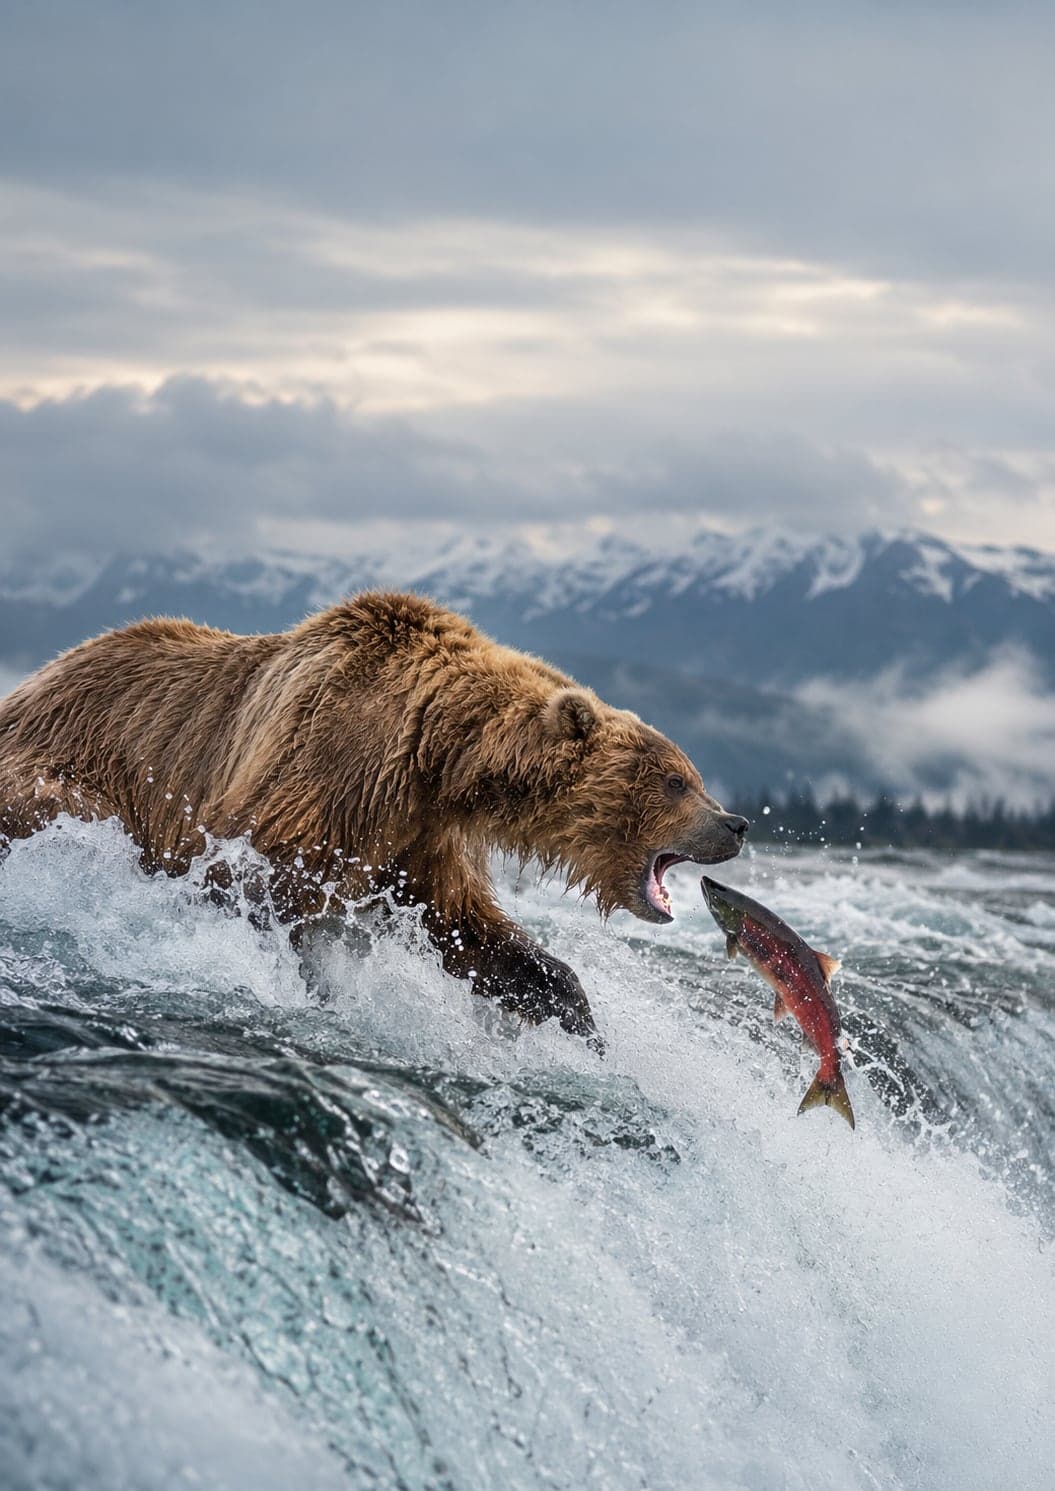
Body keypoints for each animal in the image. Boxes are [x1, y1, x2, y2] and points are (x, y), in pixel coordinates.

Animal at [0, 590, 747, 1042]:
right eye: (676, 780)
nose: (735, 824)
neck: (437, 755)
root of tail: (30, 682)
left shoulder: (418, 841)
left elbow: (472, 935)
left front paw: (581, 1021)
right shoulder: (325, 778)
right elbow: (254, 886)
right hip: (58, 774)